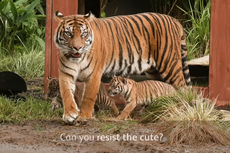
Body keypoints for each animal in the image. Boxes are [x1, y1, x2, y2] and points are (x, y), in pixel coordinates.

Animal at [54, 11, 190, 123]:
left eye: (84, 34)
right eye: (68, 34)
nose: (78, 48)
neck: (77, 59)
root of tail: (174, 19)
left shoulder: (93, 75)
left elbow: (88, 97)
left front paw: (83, 116)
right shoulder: (66, 73)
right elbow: (66, 93)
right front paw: (70, 115)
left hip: (169, 64)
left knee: (182, 87)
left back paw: (180, 110)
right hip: (154, 71)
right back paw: (157, 110)